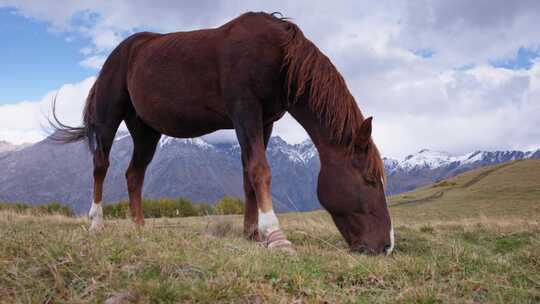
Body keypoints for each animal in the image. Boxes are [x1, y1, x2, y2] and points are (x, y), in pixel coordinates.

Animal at [52, 11, 394, 254]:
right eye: (369, 179)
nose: (386, 246)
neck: (277, 54)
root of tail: (122, 50)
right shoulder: (245, 111)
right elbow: (260, 170)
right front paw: (276, 236)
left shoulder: (264, 121)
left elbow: (248, 176)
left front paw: (252, 234)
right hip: (109, 117)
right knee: (101, 165)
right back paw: (96, 223)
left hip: (146, 131)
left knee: (134, 174)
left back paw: (139, 228)